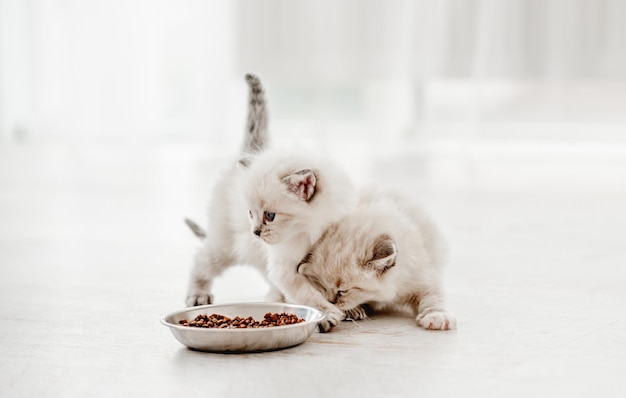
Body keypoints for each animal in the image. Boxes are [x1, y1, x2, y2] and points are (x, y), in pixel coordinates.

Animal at [294, 189, 456, 330]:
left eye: (343, 291)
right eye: (322, 286)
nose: (331, 301)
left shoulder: (423, 278)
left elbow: (433, 298)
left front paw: (437, 316)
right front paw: (352, 310)